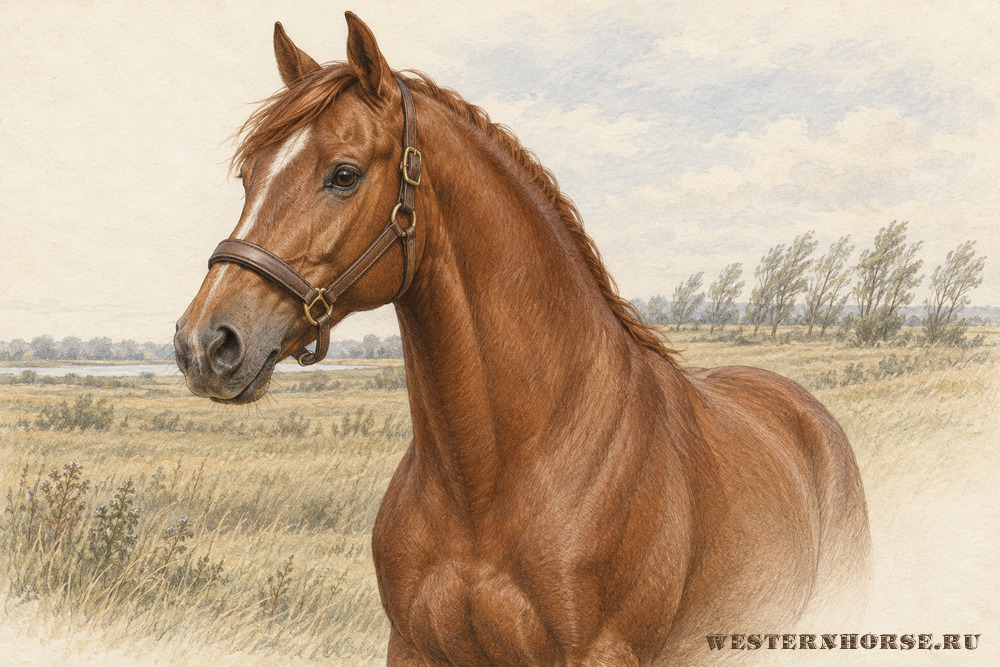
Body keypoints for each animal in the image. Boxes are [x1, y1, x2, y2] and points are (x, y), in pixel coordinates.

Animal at [174, 13, 871, 665]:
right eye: (249, 175)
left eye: (344, 174)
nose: (205, 344)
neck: (489, 482)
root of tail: (806, 411)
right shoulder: (413, 647)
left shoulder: (599, 652)